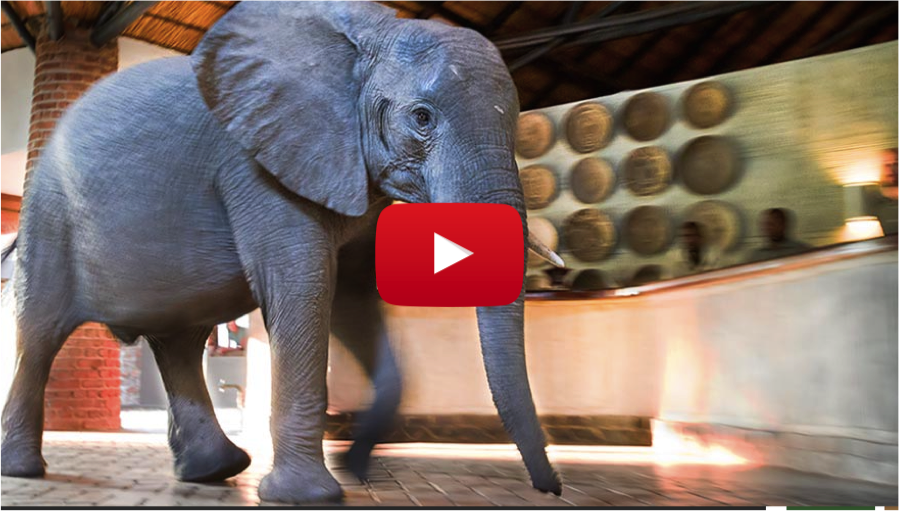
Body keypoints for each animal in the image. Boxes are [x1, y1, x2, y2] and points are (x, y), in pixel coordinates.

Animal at [0, 0, 564, 504]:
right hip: (48, 215)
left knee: (177, 342)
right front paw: (310, 495)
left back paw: (214, 471)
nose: (552, 489)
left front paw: (356, 468)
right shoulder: (255, 165)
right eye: (421, 118)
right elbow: (305, 286)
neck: (371, 34)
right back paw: (24, 470)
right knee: (41, 334)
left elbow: (352, 296)